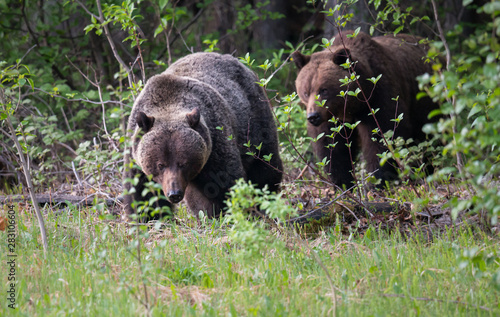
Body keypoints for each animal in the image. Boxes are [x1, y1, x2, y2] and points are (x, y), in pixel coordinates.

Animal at [123, 52, 284, 220]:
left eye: (183, 163)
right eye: (160, 165)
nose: (174, 193)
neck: (168, 103)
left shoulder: (215, 144)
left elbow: (222, 185)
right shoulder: (135, 158)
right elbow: (141, 195)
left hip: (254, 119)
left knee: (264, 161)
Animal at [292, 30, 440, 186]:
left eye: (323, 90)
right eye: (305, 92)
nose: (313, 116)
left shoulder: (379, 96)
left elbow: (382, 136)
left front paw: (378, 180)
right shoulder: (331, 119)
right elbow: (331, 147)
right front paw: (342, 183)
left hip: (426, 101)